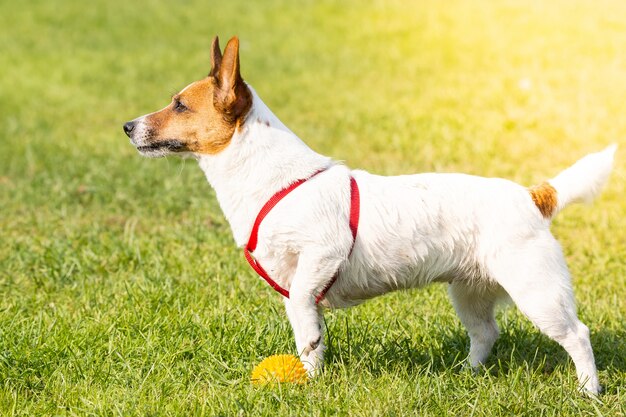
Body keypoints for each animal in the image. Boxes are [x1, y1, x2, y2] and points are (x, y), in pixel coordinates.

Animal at [123, 35, 616, 394]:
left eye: (180, 105)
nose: (127, 126)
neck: (269, 176)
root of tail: (534, 196)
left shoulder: (321, 256)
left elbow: (304, 315)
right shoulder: (296, 282)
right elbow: (307, 331)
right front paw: (312, 374)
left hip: (537, 291)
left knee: (578, 334)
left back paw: (588, 391)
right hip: (469, 292)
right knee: (486, 334)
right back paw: (466, 373)